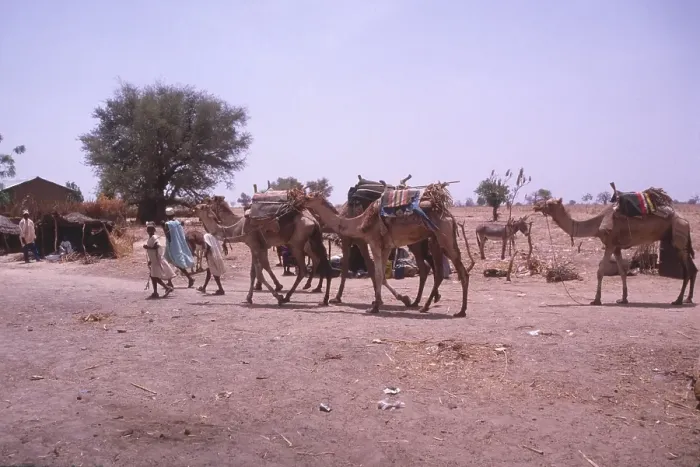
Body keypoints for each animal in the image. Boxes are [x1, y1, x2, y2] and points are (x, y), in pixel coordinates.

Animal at [302, 184, 471, 316]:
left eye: (309, 197)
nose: (300, 199)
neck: (360, 223)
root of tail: (449, 216)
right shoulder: (386, 246)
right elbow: (382, 276)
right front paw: (397, 300)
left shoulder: (373, 242)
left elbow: (377, 274)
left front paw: (376, 306)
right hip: (435, 240)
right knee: (439, 272)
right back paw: (425, 305)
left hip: (444, 237)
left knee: (460, 271)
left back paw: (460, 311)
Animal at [533, 195, 696, 306]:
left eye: (550, 203)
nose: (536, 206)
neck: (597, 223)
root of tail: (686, 221)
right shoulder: (617, 247)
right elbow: (622, 272)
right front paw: (623, 299)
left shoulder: (610, 244)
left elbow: (600, 272)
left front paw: (596, 300)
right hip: (678, 241)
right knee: (693, 269)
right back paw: (688, 299)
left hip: (678, 238)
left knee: (687, 271)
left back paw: (678, 300)